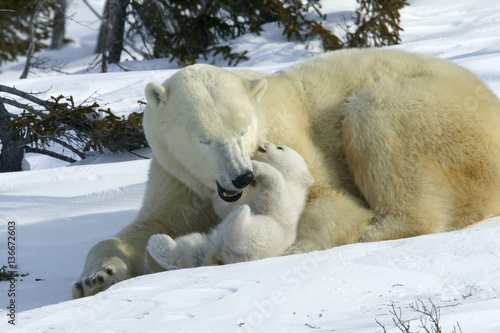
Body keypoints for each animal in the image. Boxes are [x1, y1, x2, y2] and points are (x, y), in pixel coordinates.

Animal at [72, 48, 500, 296]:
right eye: (204, 139)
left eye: (243, 129)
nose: (241, 177)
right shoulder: (177, 176)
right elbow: (151, 225)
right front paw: (97, 276)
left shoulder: (291, 143)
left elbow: (330, 199)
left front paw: (291, 248)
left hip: (442, 118)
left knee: (376, 115)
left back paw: (374, 228)